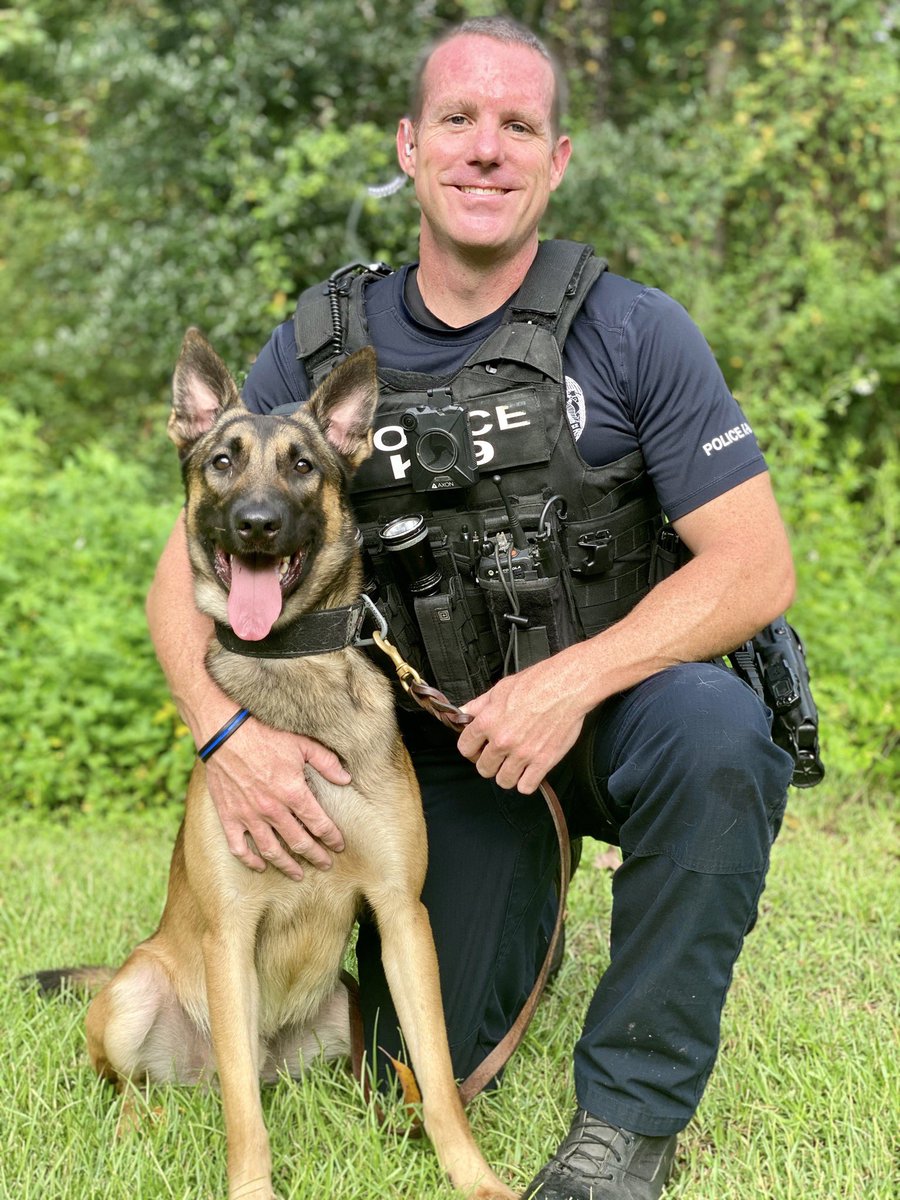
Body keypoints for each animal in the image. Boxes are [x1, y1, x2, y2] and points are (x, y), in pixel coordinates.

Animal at [61, 328, 513, 1200]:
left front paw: (472, 1177)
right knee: (143, 1085)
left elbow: (440, 1078)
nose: (258, 524)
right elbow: (244, 1118)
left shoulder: (402, 919)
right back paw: (139, 1128)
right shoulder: (230, 937)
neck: (292, 666)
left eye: (303, 465)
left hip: (349, 1004)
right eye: (222, 463)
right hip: (136, 994)